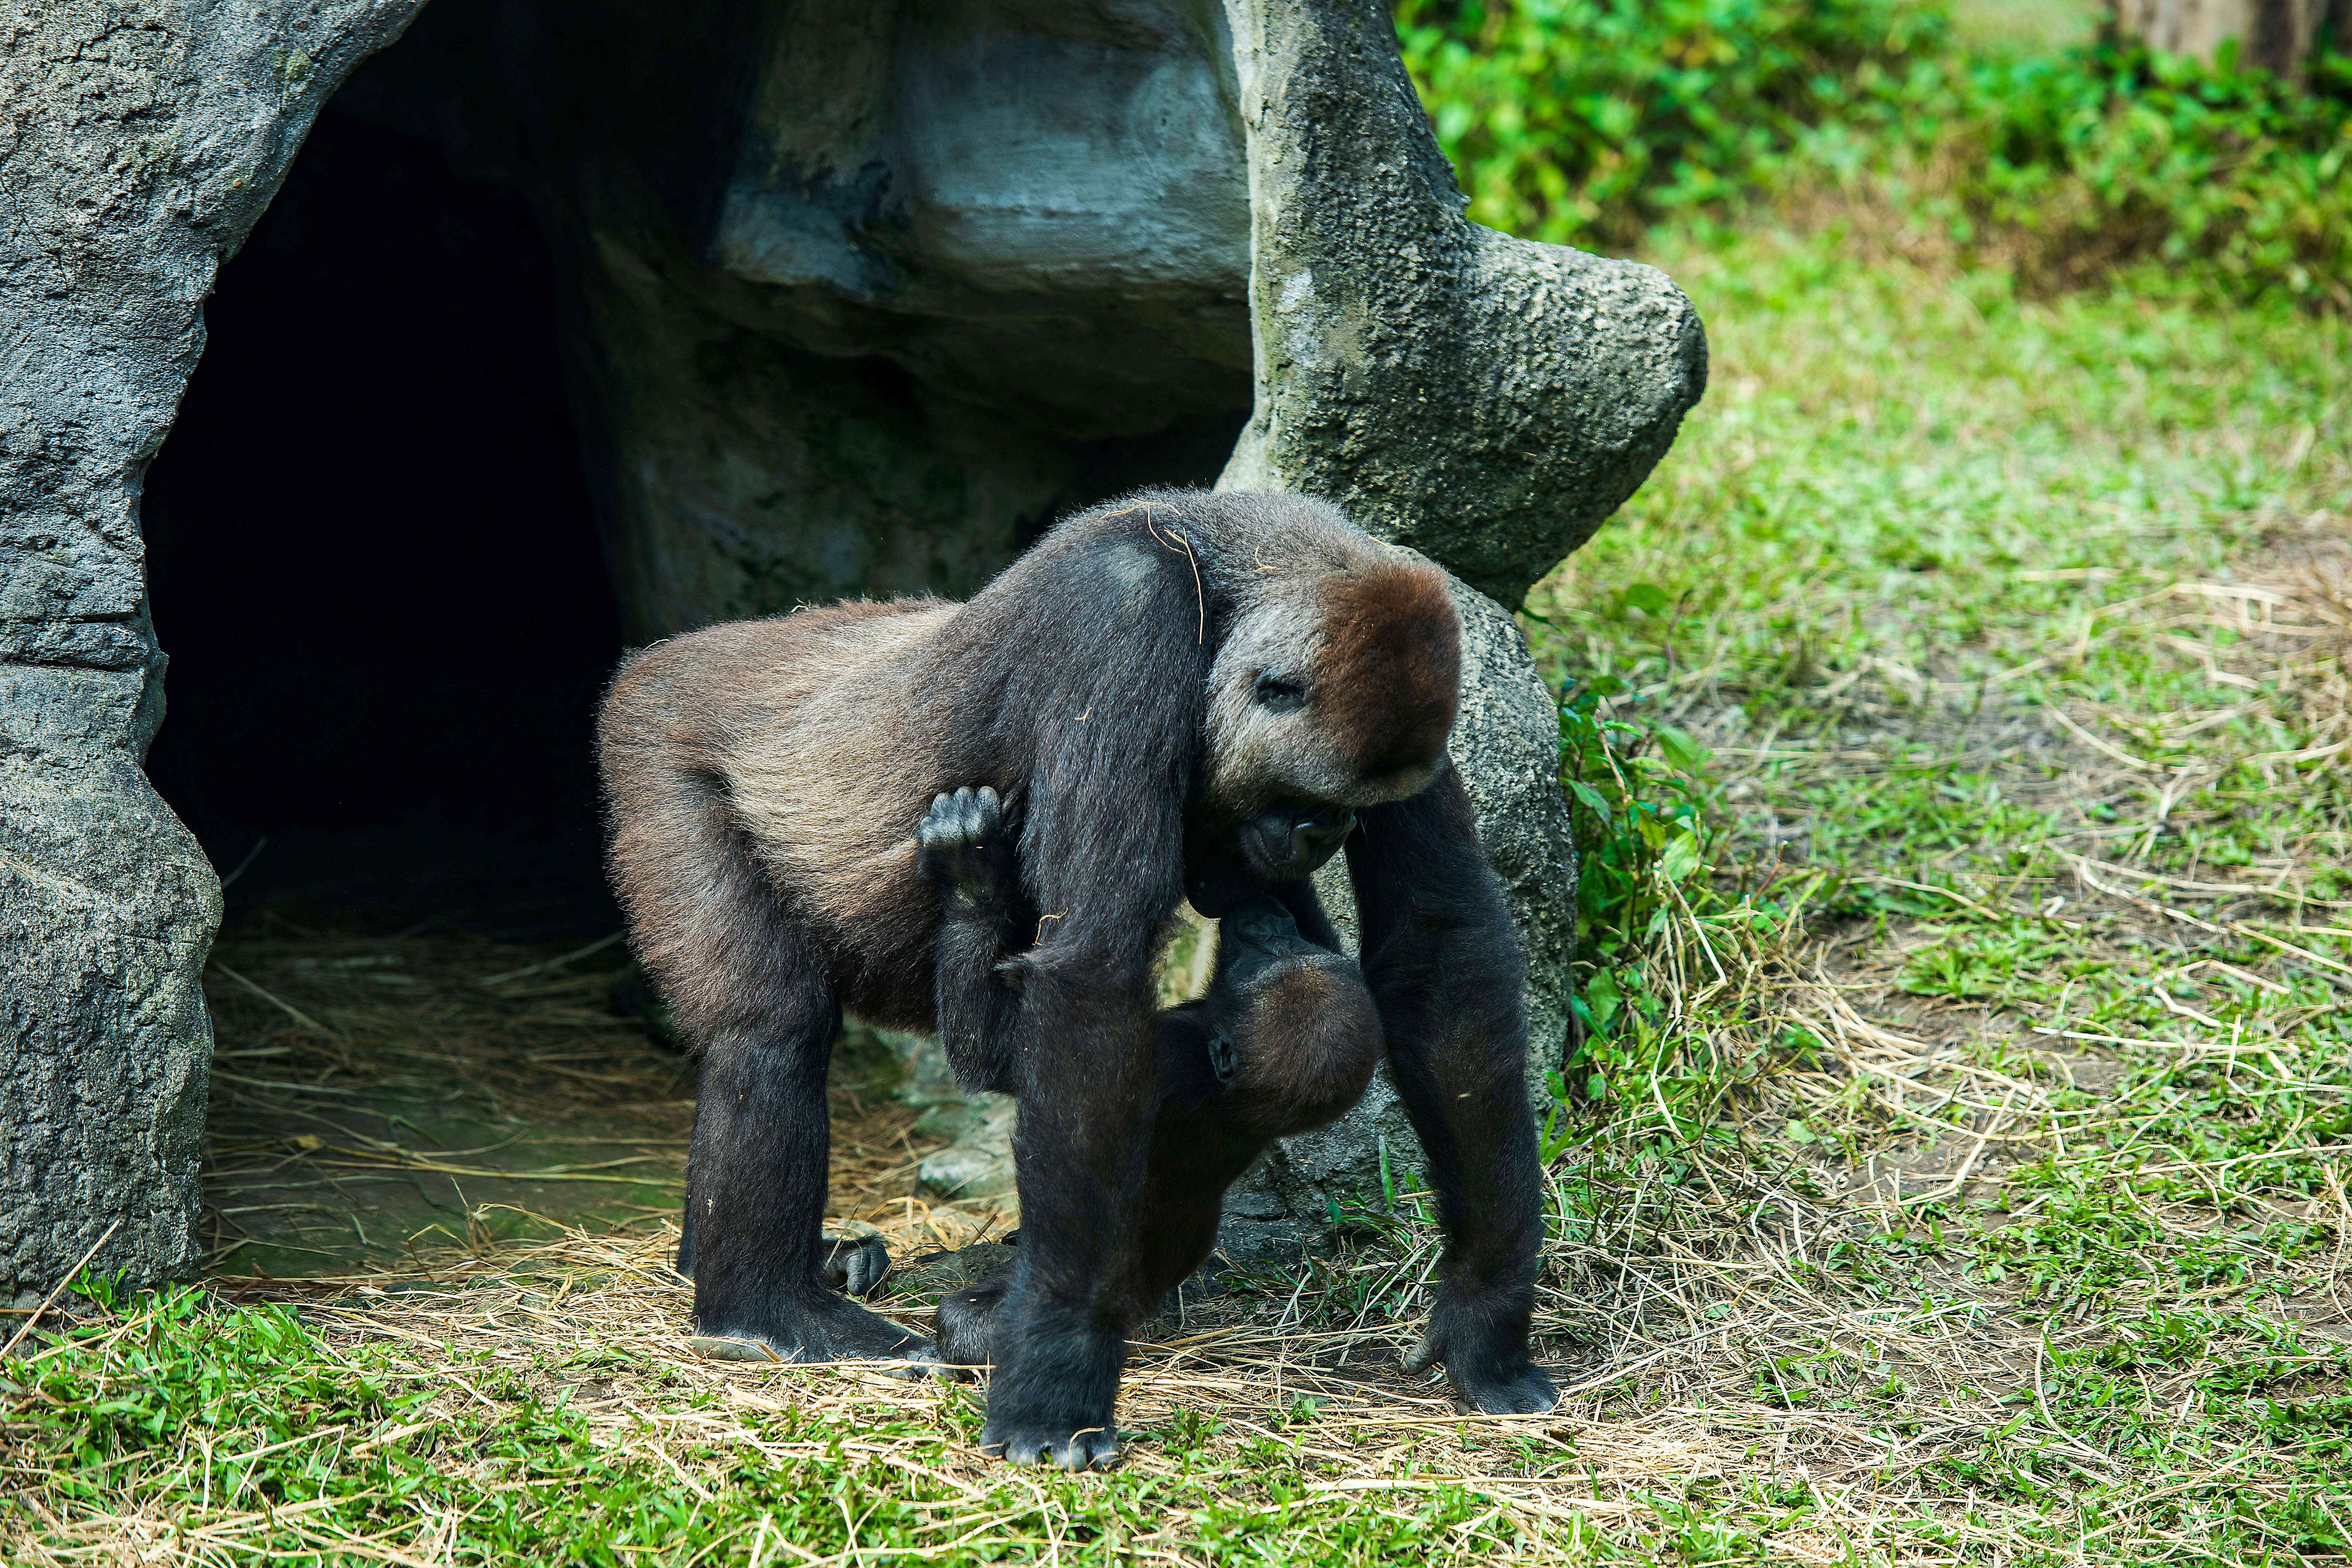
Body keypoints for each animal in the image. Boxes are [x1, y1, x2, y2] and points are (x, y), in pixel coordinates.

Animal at [599, 489, 1556, 1471]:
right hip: (656, 750)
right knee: (770, 1029)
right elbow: (1093, 973)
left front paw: (1485, 1318)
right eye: (1308, 802)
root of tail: (666, 659)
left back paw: (756, 1293)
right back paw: (765, 1306)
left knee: (771, 1032)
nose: (1318, 839)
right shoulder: (1125, 616)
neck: (1224, 572)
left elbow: (1437, 951)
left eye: (1349, 813)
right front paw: (1058, 1375)